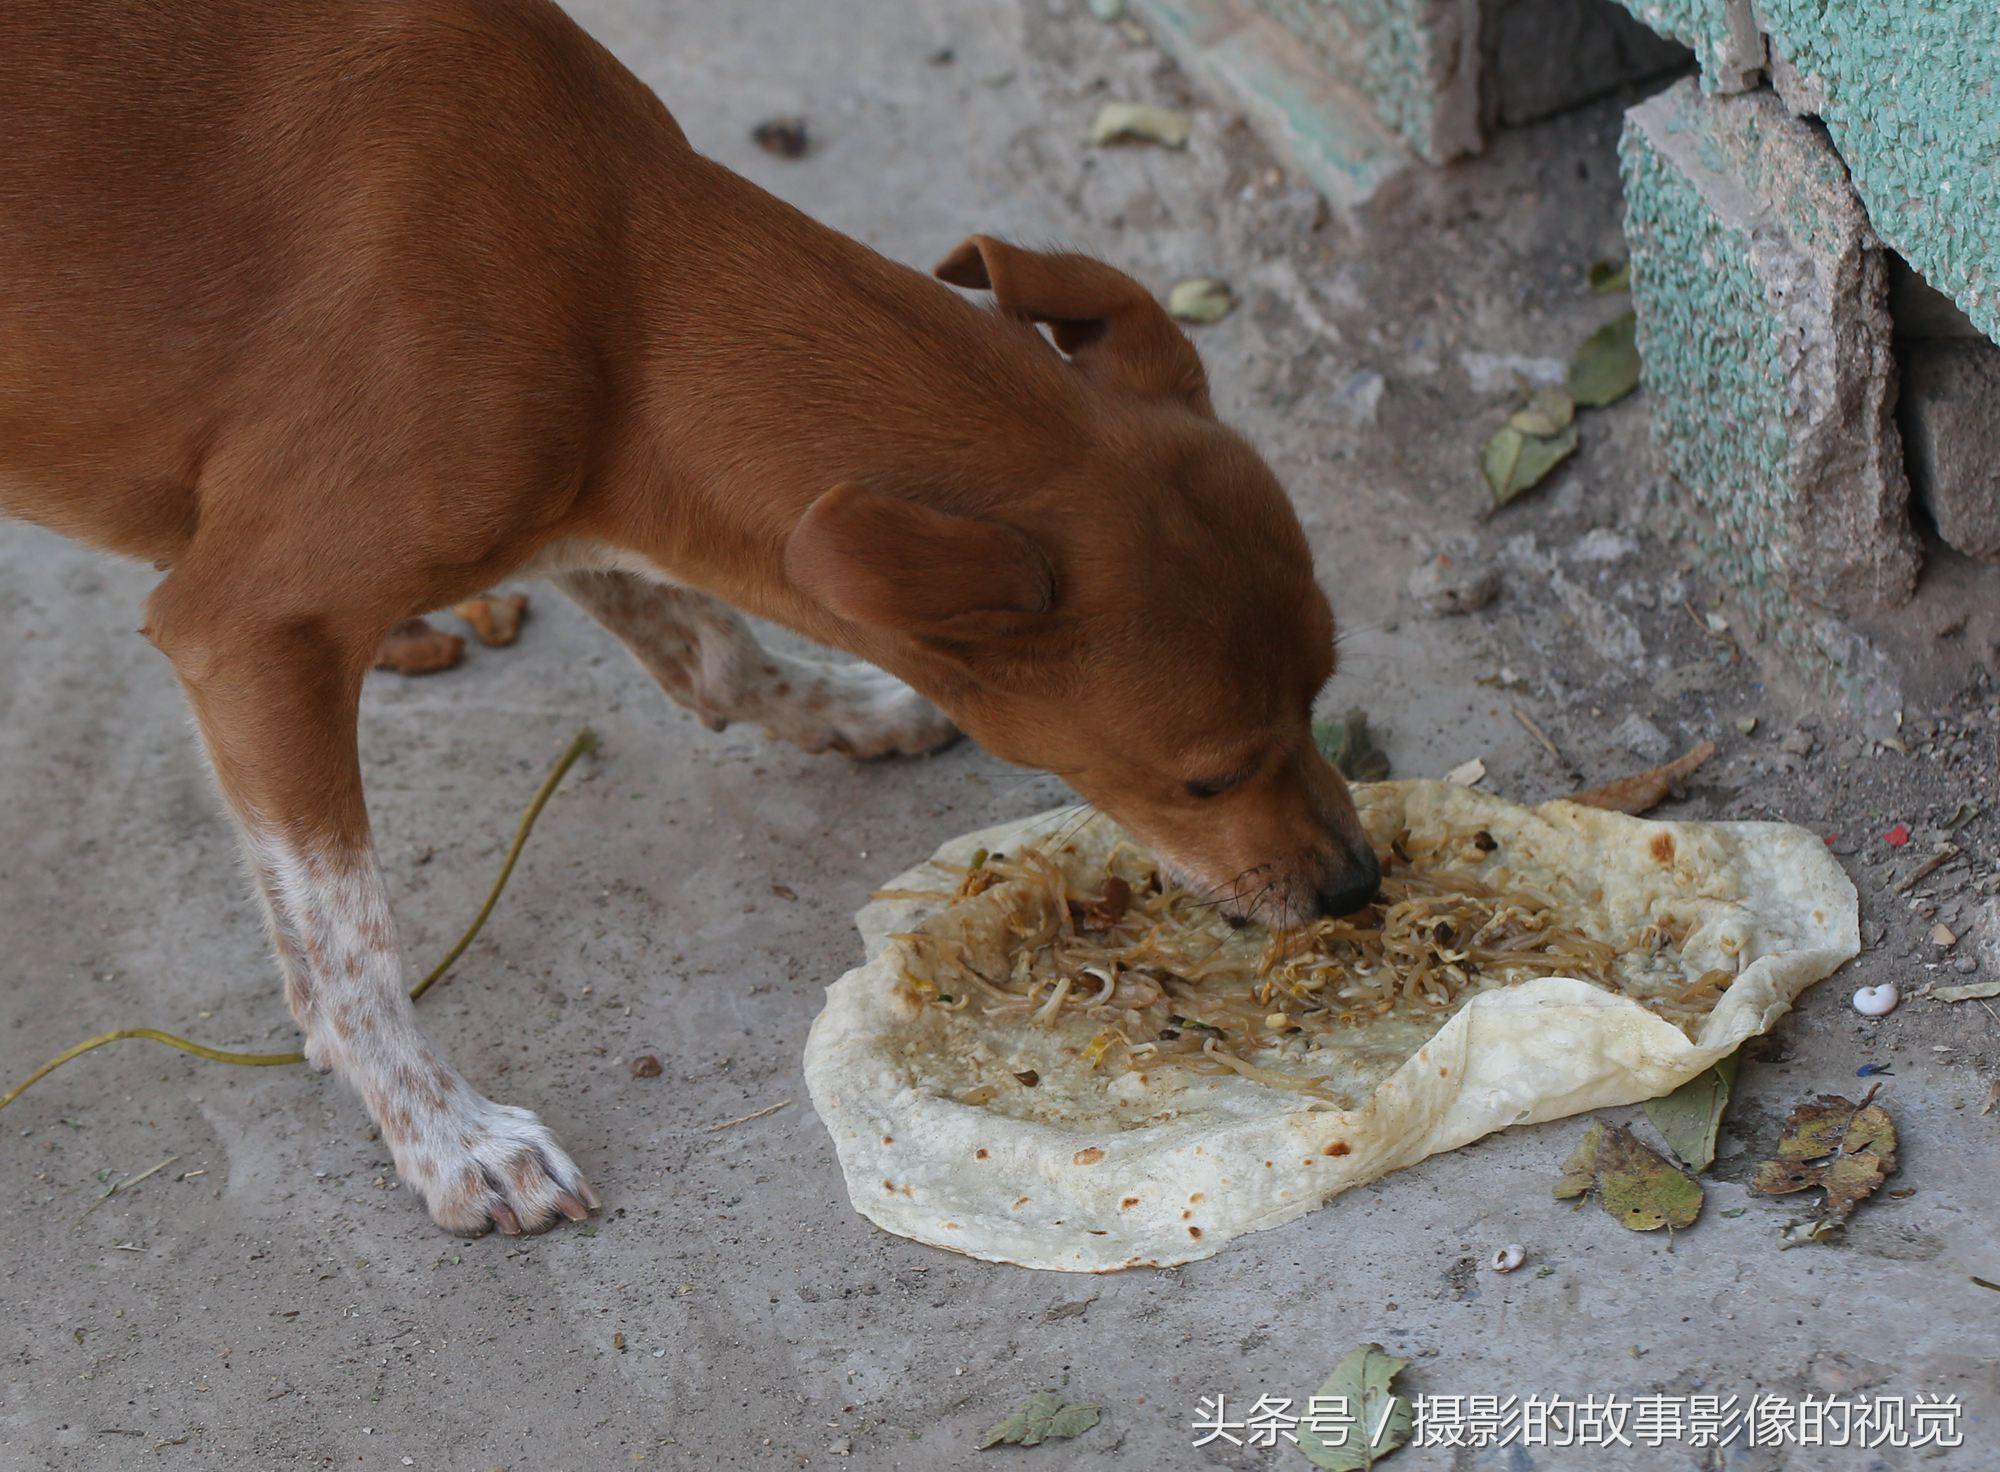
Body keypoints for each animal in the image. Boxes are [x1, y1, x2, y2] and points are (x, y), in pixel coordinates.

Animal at [0, 0, 1376, 1240]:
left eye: (1317, 697)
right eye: (1204, 780)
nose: (1358, 886)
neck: (607, 275)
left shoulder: (574, 502)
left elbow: (711, 650)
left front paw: (851, 709)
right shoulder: (245, 625)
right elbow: (350, 945)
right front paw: (447, 1135)